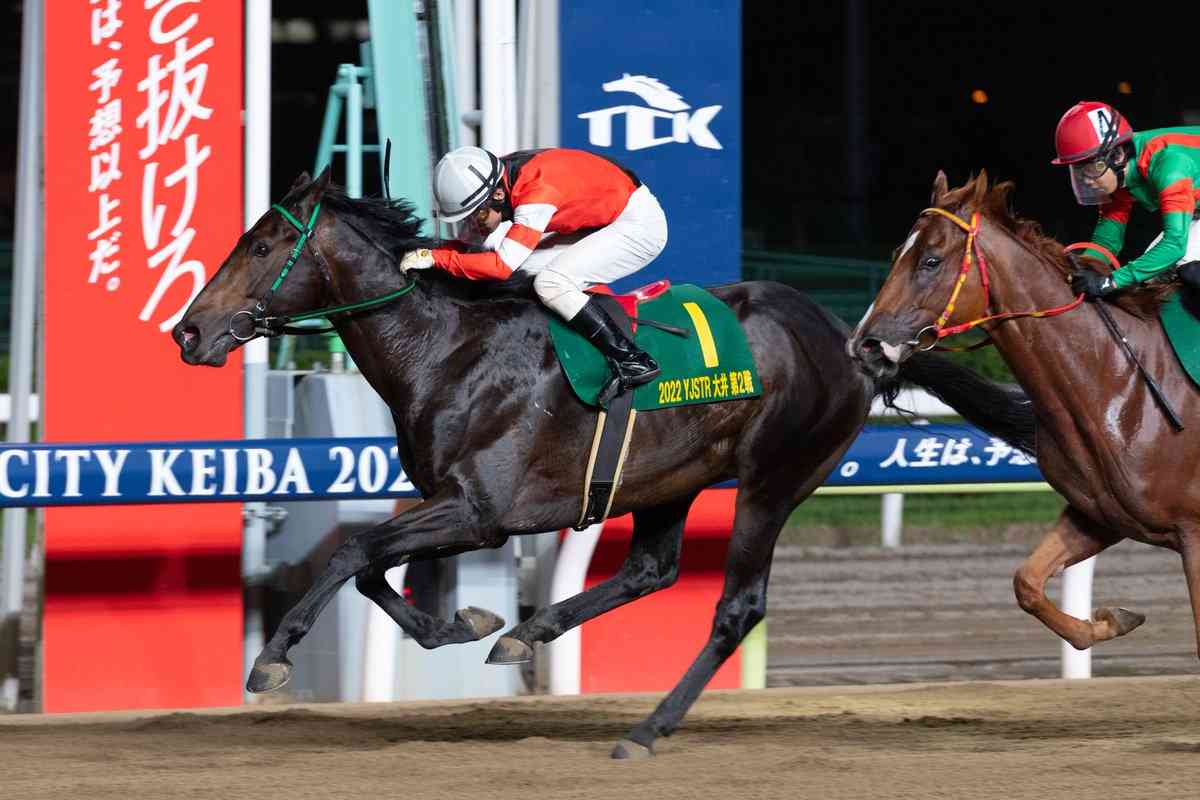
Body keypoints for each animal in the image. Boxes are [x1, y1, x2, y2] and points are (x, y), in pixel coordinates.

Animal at [174, 167, 1035, 758]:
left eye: (260, 245)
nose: (189, 331)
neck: (446, 349)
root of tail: (852, 340)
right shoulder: (450, 507)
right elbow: (368, 570)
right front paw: (466, 623)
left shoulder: (479, 512)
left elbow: (350, 552)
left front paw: (271, 660)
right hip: (672, 477)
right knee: (649, 570)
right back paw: (528, 634)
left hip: (773, 479)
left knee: (736, 608)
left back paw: (647, 729)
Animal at [850, 170, 1200, 658]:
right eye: (898, 252)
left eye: (931, 261)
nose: (865, 344)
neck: (1120, 381)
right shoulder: (1100, 514)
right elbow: (1027, 582)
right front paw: (1109, 620)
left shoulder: (1194, 535)